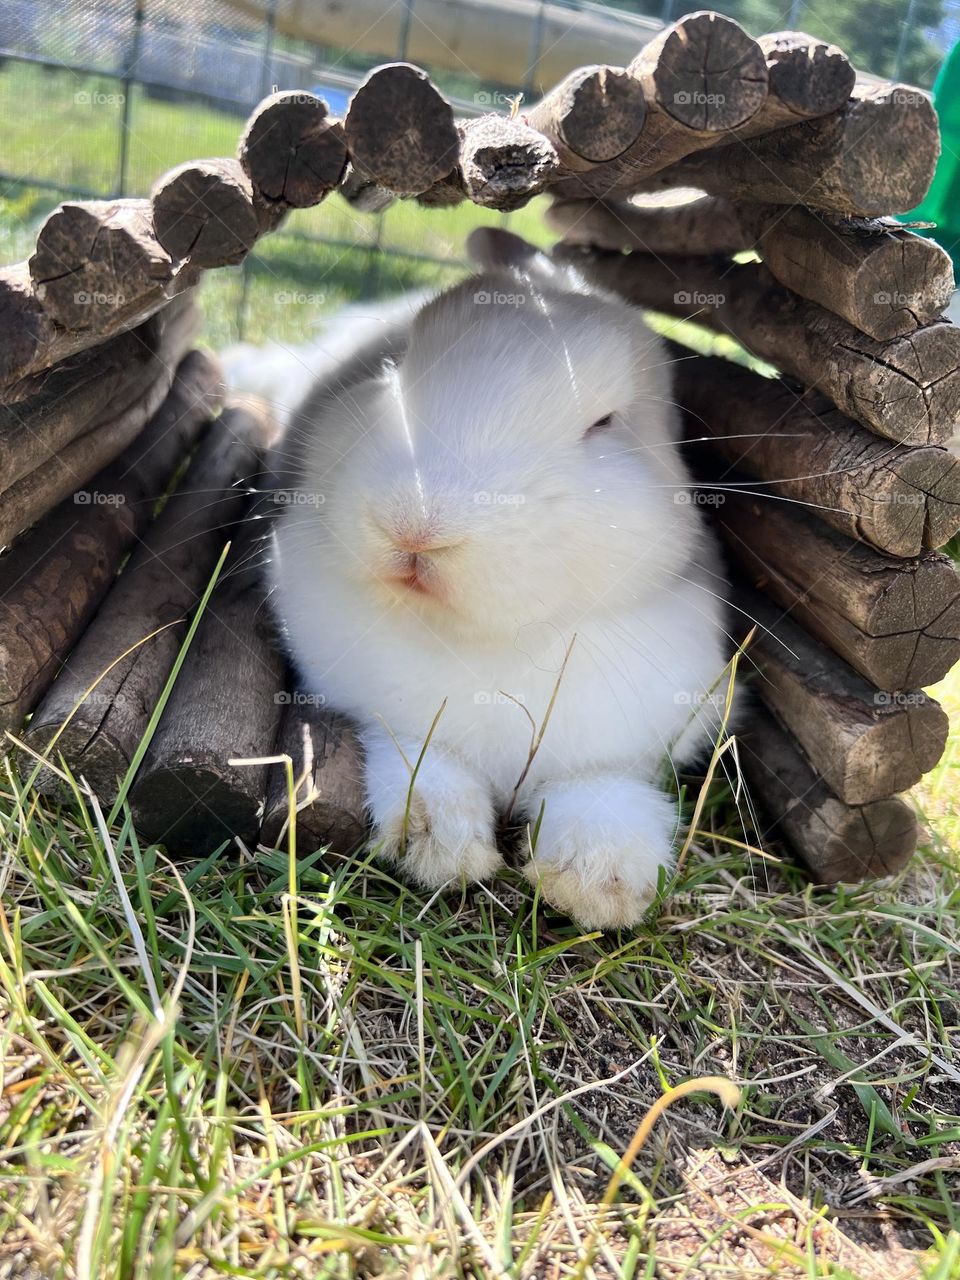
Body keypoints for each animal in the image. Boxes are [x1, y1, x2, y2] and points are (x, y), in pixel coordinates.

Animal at [239, 228, 736, 930]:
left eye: (605, 423)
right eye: (396, 365)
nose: (415, 525)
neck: (485, 646)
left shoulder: (629, 740)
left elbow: (601, 788)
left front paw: (600, 881)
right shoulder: (388, 715)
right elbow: (425, 761)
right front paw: (442, 846)